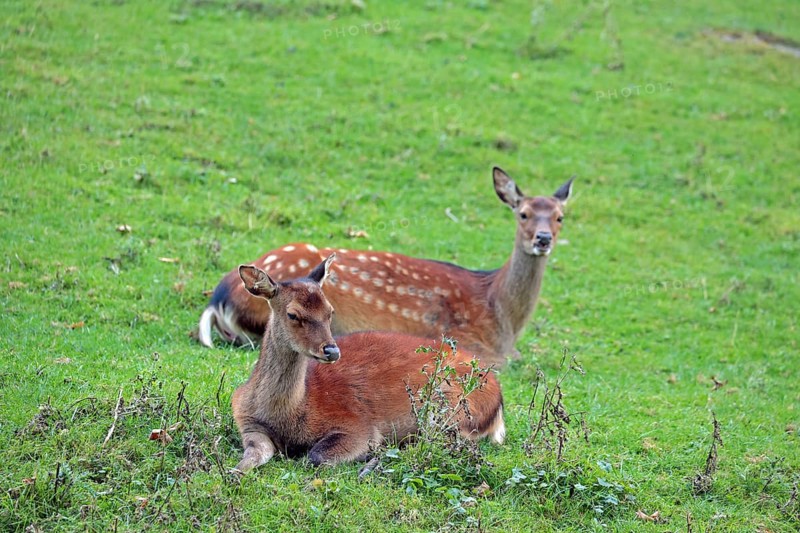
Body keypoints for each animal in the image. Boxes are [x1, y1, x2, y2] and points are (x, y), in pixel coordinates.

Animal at [200, 167, 573, 367]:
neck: (502, 318)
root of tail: (218, 298)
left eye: (559, 217)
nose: (543, 239)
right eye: (523, 213)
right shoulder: (469, 341)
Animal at [231, 255, 505, 471]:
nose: (331, 350)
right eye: (292, 314)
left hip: (453, 409)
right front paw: (233, 474)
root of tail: (498, 394)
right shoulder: (247, 422)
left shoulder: (356, 425)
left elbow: (317, 455)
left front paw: (370, 451)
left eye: (330, 312)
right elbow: (252, 455)